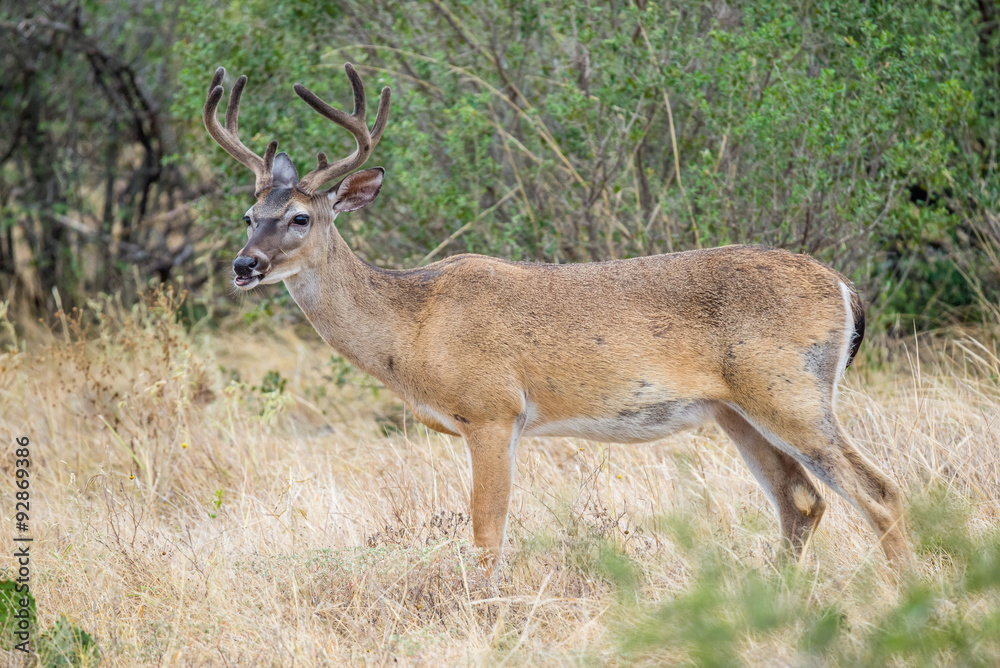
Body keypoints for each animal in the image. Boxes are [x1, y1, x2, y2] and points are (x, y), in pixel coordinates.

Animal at [204, 63, 912, 571]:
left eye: (301, 218)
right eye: (247, 215)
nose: (244, 265)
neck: (411, 323)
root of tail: (845, 287)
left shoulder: (492, 410)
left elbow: (487, 535)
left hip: (790, 391)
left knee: (880, 494)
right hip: (736, 409)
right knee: (802, 502)